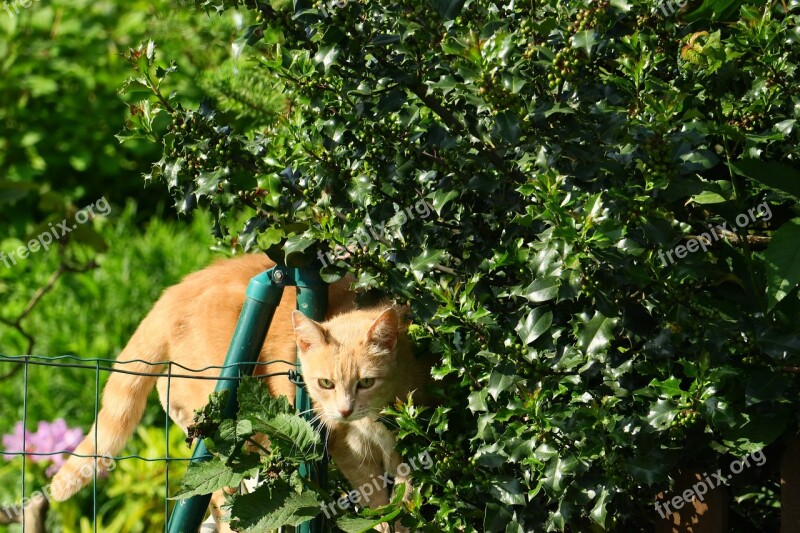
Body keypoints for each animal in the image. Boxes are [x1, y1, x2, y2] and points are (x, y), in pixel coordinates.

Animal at [48, 254, 432, 528]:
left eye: (366, 382)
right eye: (325, 384)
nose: (344, 411)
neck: (373, 420)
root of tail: (176, 290)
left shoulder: (405, 448)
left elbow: (405, 502)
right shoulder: (351, 450)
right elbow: (379, 507)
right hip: (229, 428)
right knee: (221, 500)